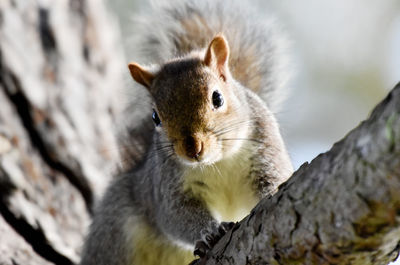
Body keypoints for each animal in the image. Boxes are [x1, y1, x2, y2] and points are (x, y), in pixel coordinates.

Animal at [79, 0, 292, 264]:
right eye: (155, 117)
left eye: (217, 98)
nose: (192, 149)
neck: (217, 163)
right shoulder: (167, 185)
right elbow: (177, 215)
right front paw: (210, 233)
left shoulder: (264, 146)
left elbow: (272, 177)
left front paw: (272, 191)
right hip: (112, 230)